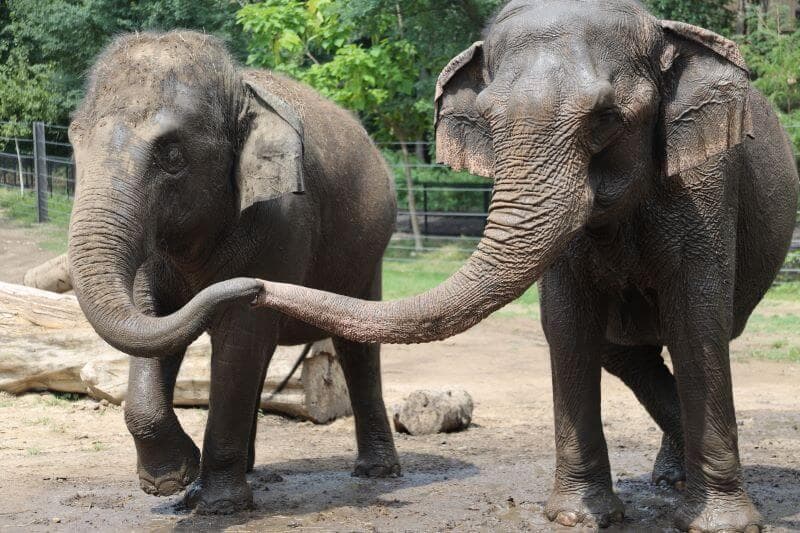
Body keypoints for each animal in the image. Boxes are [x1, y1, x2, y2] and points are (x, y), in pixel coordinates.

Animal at [66, 31, 400, 513]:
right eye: (74, 143)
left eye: (172, 155)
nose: (255, 286)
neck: (241, 92)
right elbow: (151, 321)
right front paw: (173, 483)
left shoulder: (282, 222)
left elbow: (241, 335)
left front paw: (217, 503)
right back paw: (250, 468)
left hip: (369, 254)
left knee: (356, 346)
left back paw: (377, 472)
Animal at [243, 1, 799, 531]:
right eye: (487, 120)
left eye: (606, 117)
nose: (251, 287)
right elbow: (568, 324)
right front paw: (578, 517)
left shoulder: (706, 189)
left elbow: (696, 323)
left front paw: (722, 526)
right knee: (622, 350)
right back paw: (670, 476)